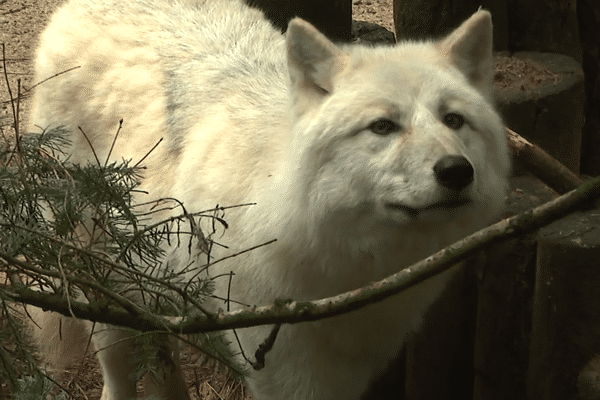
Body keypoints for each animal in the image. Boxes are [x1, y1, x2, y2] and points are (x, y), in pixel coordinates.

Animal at [25, 0, 508, 398]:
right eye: (383, 127)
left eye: (453, 120)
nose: (456, 170)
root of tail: (69, 9)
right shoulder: (282, 367)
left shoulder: (348, 369)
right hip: (105, 291)